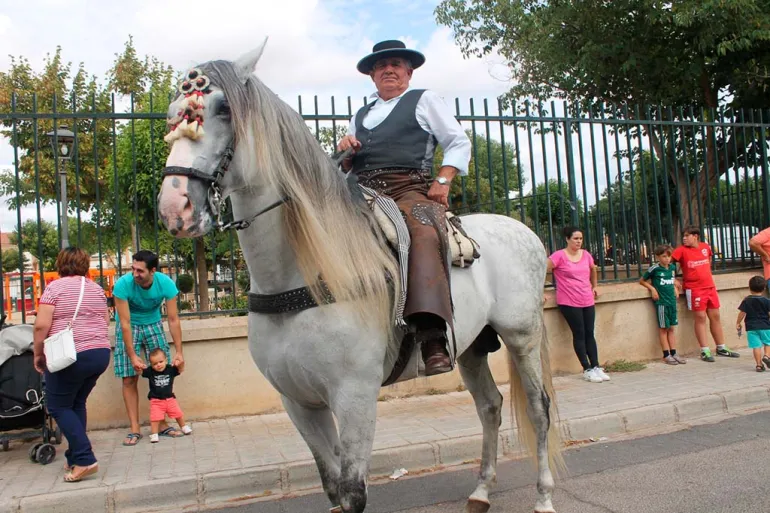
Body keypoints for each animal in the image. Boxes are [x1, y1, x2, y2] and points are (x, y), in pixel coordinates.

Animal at [158, 44, 560, 512]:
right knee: (490, 407)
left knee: (538, 408)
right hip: (473, 346)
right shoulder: (299, 402)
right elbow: (332, 485)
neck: (299, 275)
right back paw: (480, 491)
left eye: (223, 109)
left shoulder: (354, 398)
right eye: (173, 113)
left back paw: (544, 496)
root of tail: (523, 231)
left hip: (522, 336)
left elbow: (352, 492)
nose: (175, 208)